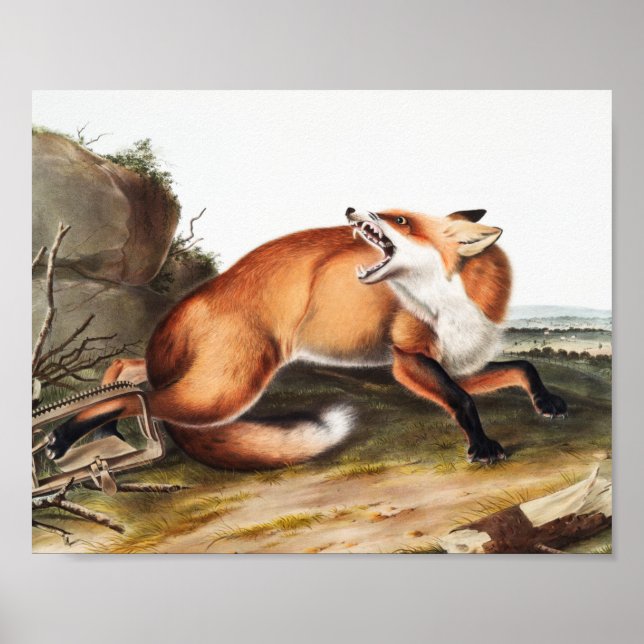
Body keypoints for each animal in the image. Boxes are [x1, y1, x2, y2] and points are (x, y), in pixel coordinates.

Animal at [46, 207, 567, 468]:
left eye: (401, 220)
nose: (352, 207)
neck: (451, 298)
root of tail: (200, 296)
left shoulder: (453, 364)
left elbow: (521, 367)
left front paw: (546, 403)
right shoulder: (408, 358)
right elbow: (463, 400)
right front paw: (482, 447)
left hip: (205, 380)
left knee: (126, 374)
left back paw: (104, 432)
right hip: (228, 387)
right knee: (140, 398)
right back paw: (68, 434)